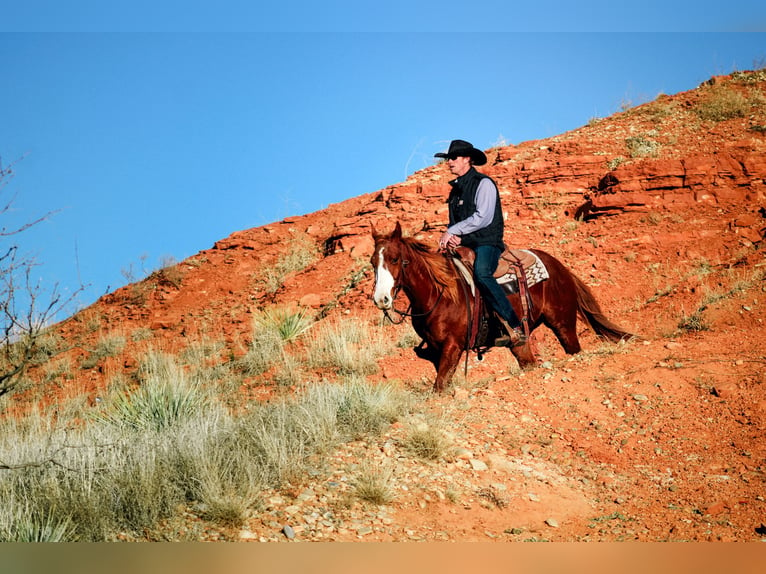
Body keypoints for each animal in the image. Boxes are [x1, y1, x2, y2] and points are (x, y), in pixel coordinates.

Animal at [372, 223, 636, 394]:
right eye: (373, 262)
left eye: (395, 259)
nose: (381, 299)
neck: (440, 293)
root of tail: (559, 267)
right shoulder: (437, 351)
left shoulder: (453, 347)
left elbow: (439, 387)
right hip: (519, 342)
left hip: (563, 324)